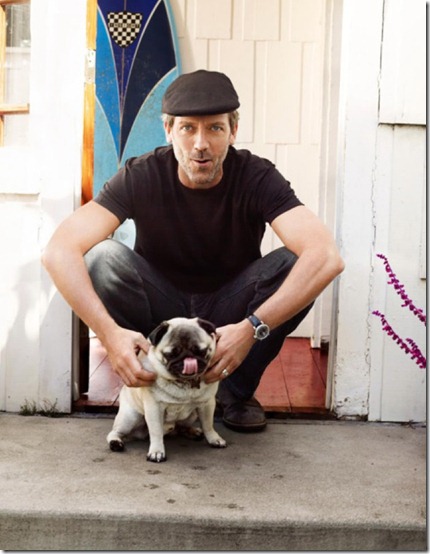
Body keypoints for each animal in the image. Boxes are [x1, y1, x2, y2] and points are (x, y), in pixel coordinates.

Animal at [107, 317, 227, 462]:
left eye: (201, 351)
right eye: (171, 354)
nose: (188, 358)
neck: (184, 383)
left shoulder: (207, 404)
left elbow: (208, 424)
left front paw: (214, 438)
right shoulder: (154, 408)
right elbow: (156, 432)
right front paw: (157, 451)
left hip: (191, 415)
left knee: (181, 427)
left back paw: (192, 431)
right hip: (130, 417)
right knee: (115, 432)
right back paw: (115, 443)